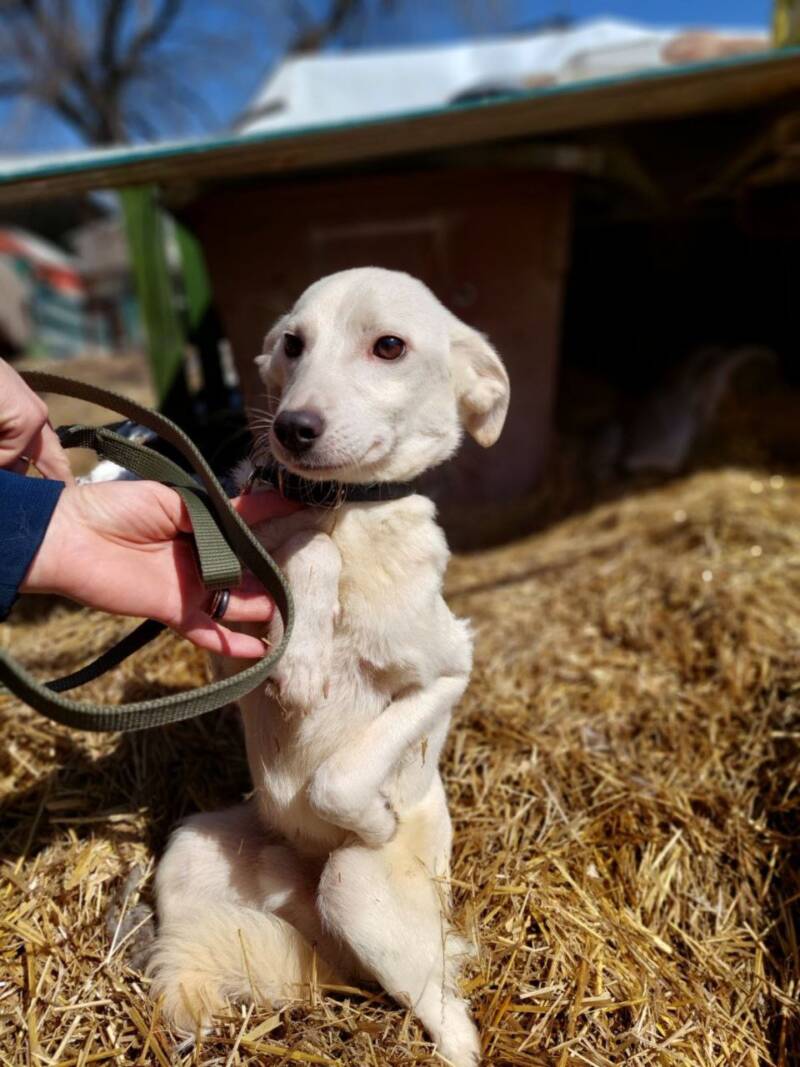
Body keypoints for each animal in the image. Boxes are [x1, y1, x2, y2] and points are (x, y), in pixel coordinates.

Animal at [149, 268, 509, 1067]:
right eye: (293, 343)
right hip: (188, 852)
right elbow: (306, 550)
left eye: (389, 346)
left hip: (353, 888)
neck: (343, 509)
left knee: (453, 1018)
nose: (292, 428)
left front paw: (373, 816)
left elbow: (338, 776)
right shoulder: (218, 632)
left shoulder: (451, 667)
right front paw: (305, 648)